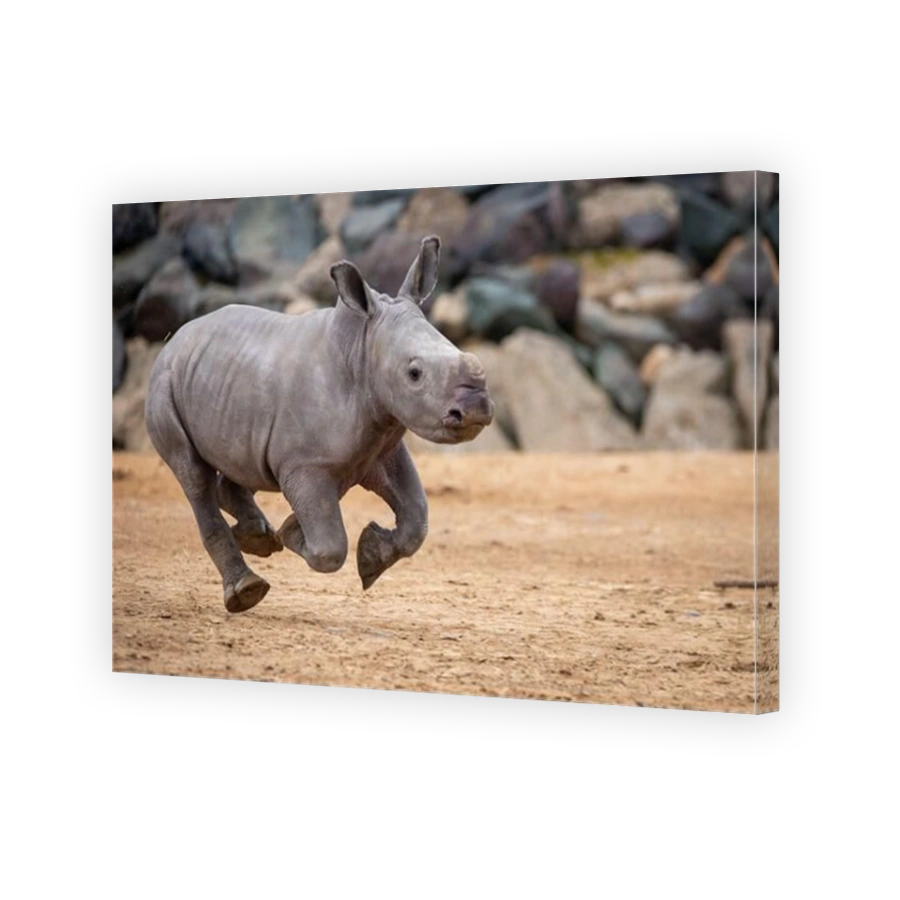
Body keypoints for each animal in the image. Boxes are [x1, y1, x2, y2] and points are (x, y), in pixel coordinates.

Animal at [145, 235, 494, 613]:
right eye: (414, 374)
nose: (475, 408)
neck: (361, 349)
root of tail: (176, 339)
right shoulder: (305, 465)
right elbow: (330, 547)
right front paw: (292, 532)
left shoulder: (381, 444)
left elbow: (417, 516)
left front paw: (368, 559)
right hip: (164, 385)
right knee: (193, 475)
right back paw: (246, 591)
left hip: (224, 383)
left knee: (242, 462)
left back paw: (257, 538)